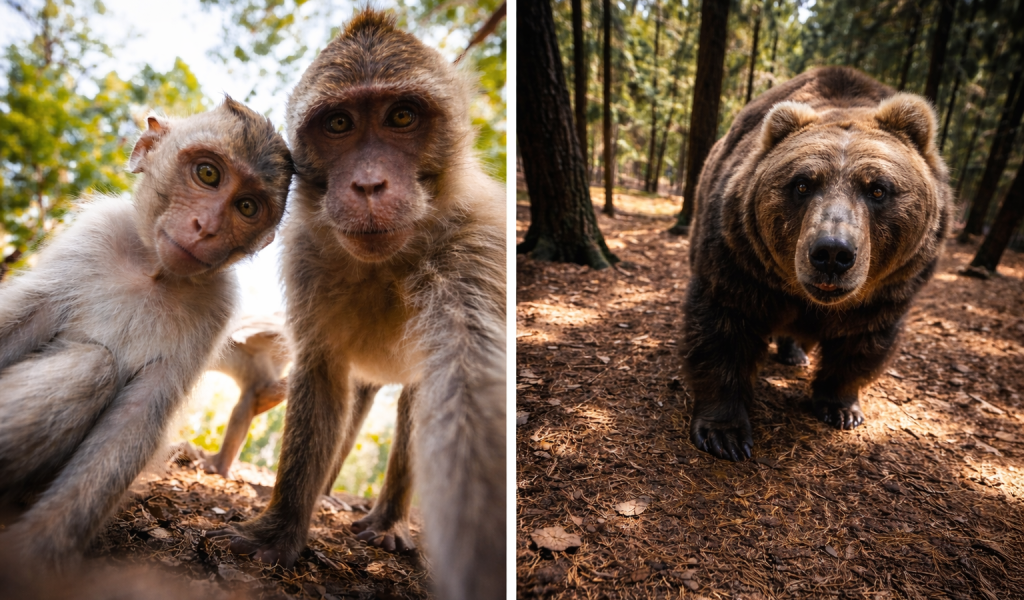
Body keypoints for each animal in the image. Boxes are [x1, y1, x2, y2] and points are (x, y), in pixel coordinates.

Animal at [0, 97, 293, 569]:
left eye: (246, 207)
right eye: (208, 174)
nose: (206, 226)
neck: (153, 273)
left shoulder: (217, 307)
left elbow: (138, 415)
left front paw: (31, 555)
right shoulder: (94, 236)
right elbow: (20, 325)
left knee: (93, 364)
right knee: (94, 363)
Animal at [210, 10, 506, 599]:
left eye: (401, 116)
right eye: (339, 124)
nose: (369, 184)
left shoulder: (475, 243)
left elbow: (457, 387)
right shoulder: (304, 256)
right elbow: (322, 374)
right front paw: (282, 527)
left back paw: (387, 518)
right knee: (353, 393)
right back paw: (326, 494)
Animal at [681, 67, 951, 461]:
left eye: (878, 189)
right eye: (802, 184)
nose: (832, 253)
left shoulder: (888, 291)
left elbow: (863, 344)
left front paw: (841, 408)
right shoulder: (740, 265)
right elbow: (723, 330)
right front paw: (724, 432)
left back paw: (795, 354)